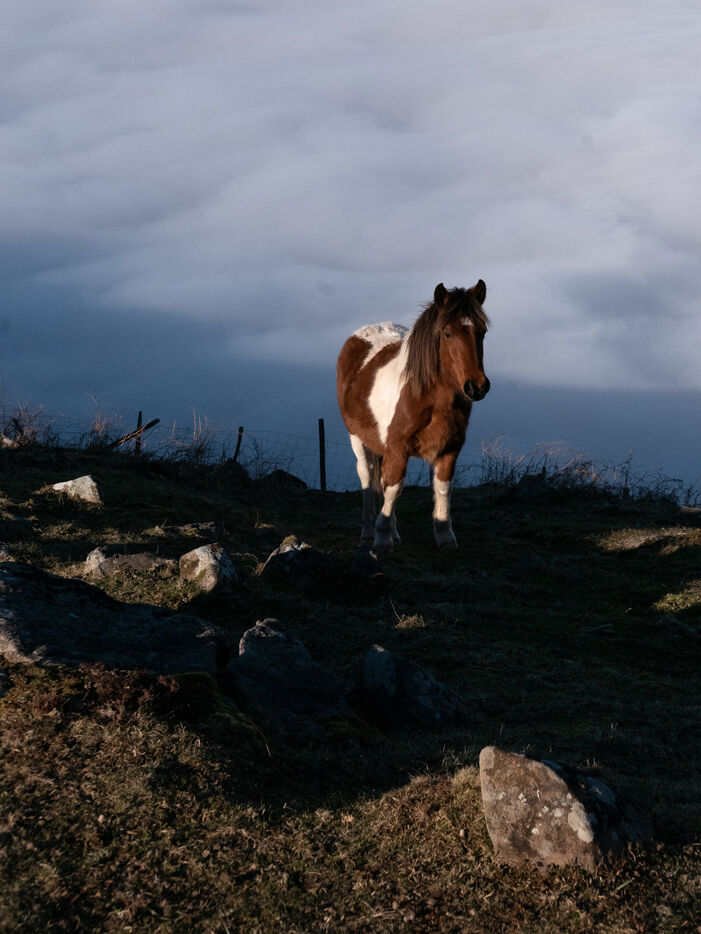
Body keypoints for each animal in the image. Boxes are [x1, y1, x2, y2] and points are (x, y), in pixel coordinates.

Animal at [336, 281, 490, 549]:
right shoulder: (397, 449)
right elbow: (393, 488)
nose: (476, 387)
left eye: (482, 331)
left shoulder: (449, 449)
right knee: (367, 477)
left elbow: (442, 488)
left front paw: (444, 535)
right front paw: (382, 537)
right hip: (357, 438)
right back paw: (368, 532)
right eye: (447, 333)